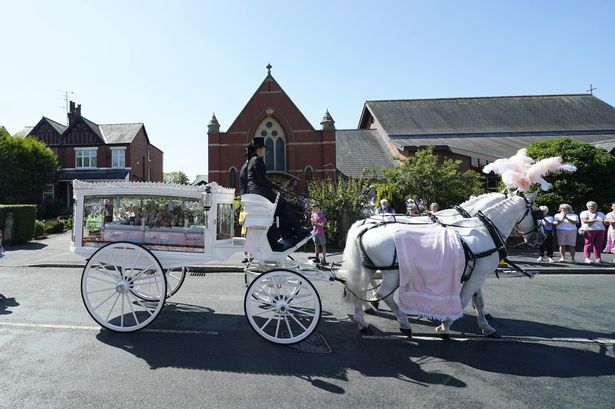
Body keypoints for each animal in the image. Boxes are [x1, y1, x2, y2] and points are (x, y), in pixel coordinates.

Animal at [340, 191, 548, 338]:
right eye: (538, 213)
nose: (542, 237)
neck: (484, 229)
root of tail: (364, 224)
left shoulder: (475, 272)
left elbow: (478, 300)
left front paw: (485, 325)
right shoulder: (478, 274)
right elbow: (464, 299)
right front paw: (445, 325)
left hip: (367, 267)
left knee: (358, 288)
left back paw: (363, 319)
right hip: (393, 273)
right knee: (384, 293)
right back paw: (402, 321)